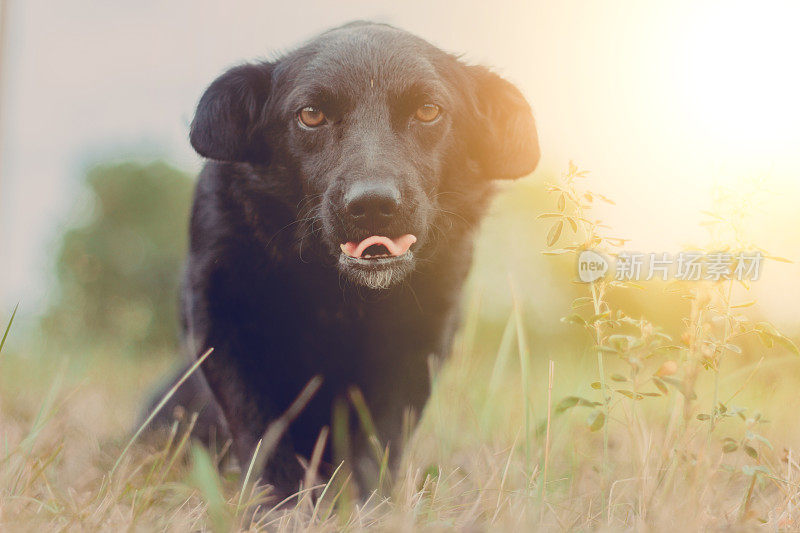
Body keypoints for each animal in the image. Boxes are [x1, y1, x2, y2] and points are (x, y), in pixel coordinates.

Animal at [148, 20, 540, 492]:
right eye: (311, 115)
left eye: (428, 110)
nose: (372, 204)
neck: (333, 290)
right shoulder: (222, 323)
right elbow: (262, 434)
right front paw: (281, 505)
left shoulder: (419, 340)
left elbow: (378, 442)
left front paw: (363, 503)